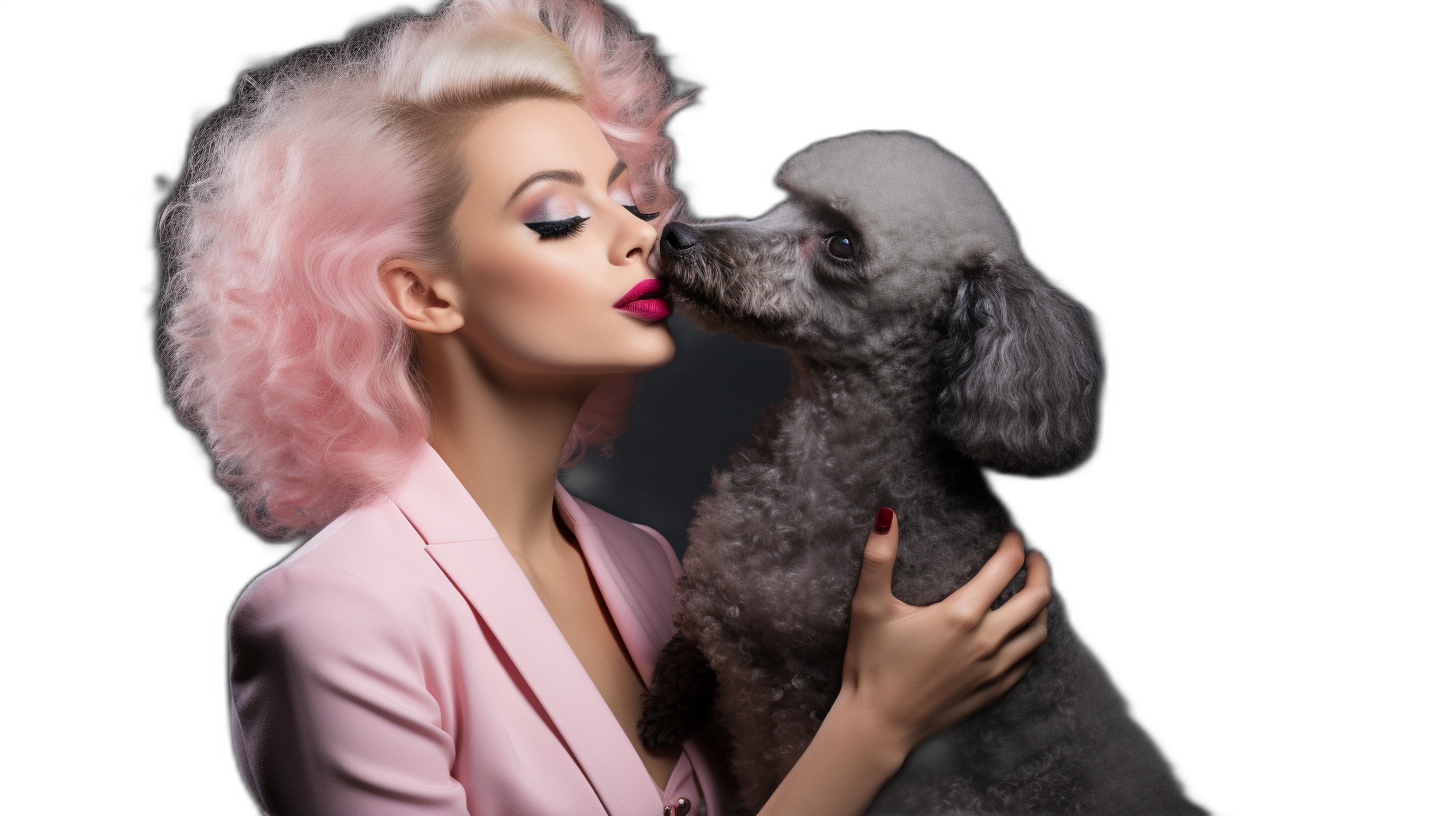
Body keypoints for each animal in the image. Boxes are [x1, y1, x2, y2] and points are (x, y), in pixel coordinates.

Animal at [643, 134, 1199, 816]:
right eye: (783, 202)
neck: (814, 459)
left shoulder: (800, 706)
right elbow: (687, 646)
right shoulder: (710, 607)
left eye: (842, 243)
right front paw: (664, 708)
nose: (677, 236)